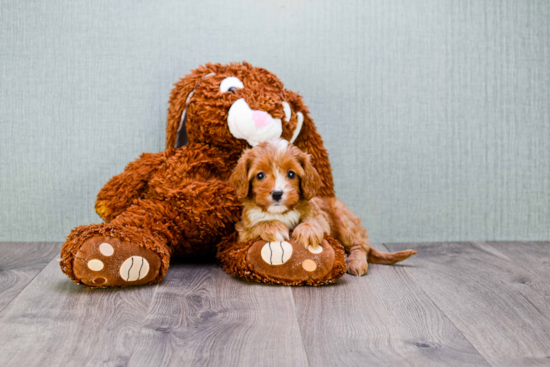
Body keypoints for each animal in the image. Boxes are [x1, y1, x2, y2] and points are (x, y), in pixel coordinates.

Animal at [230, 139, 418, 276]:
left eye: (291, 174)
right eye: (260, 175)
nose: (277, 194)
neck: (281, 212)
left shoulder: (321, 216)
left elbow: (314, 220)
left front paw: (307, 231)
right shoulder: (243, 233)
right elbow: (257, 226)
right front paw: (274, 226)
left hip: (342, 218)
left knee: (360, 245)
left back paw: (356, 262)